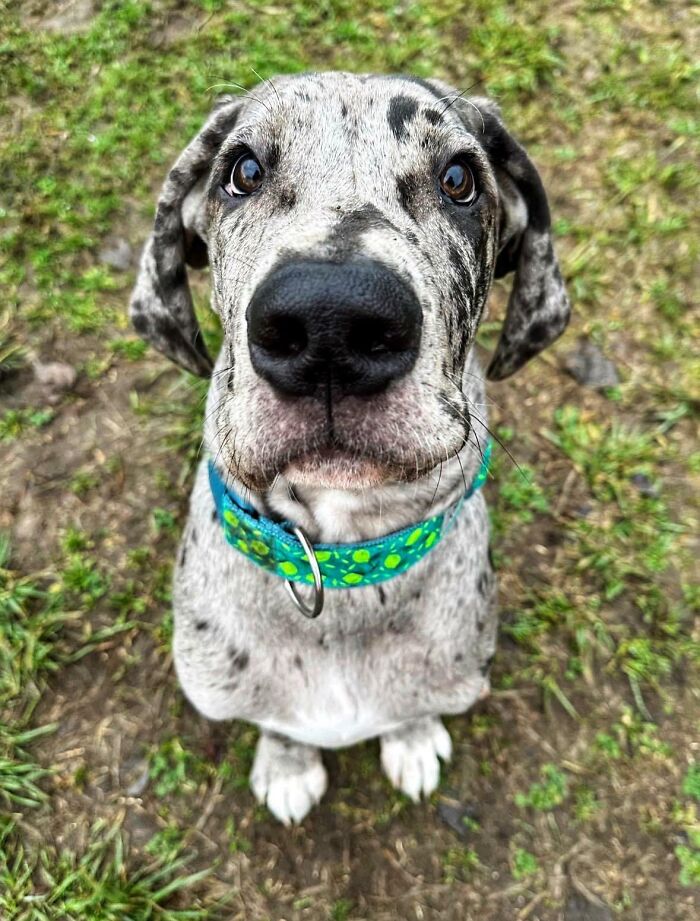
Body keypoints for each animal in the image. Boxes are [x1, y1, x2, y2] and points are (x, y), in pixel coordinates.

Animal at [130, 70, 568, 820]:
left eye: (459, 179)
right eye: (243, 170)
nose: (329, 323)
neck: (342, 570)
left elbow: (413, 709)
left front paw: (413, 738)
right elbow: (277, 724)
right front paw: (286, 762)